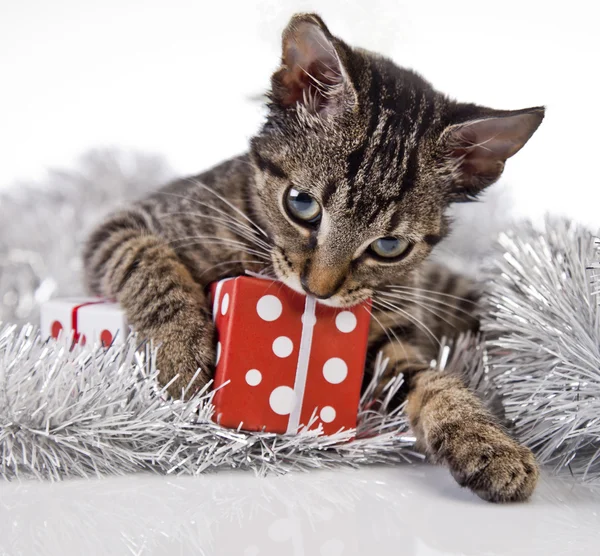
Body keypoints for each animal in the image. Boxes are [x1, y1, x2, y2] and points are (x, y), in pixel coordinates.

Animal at [83, 13, 544, 502]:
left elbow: (426, 378)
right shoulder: (123, 226)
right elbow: (147, 262)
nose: (318, 290)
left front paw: (484, 439)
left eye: (389, 247)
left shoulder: (388, 334)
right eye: (301, 204)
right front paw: (179, 353)